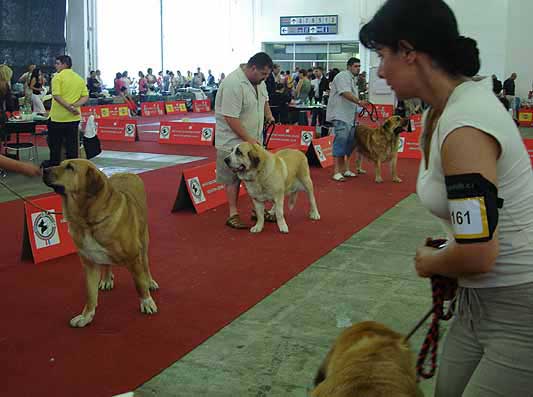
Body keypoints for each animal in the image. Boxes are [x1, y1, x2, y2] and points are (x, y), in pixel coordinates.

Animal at [42, 159, 157, 326]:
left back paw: (150, 281)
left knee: (145, 263)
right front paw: (86, 316)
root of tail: (128, 173)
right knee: (107, 264)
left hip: (143, 239)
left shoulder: (134, 257)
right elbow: (90, 293)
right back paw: (107, 279)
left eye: (70, 167)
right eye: (61, 163)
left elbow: (139, 284)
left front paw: (147, 302)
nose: (44, 169)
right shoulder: (89, 263)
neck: (87, 221)